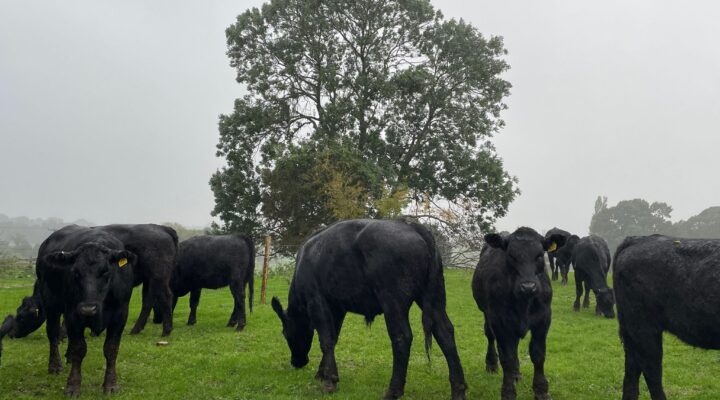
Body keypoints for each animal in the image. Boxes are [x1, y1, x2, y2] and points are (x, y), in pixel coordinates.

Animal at [36, 227, 135, 396]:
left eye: (105, 272)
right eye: (75, 272)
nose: (88, 308)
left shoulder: (120, 314)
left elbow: (111, 349)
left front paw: (111, 384)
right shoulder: (73, 313)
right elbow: (79, 349)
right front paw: (73, 386)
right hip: (50, 303)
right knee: (53, 333)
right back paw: (55, 365)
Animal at [270, 220, 466, 398]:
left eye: (285, 333)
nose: (297, 362)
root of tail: (410, 225)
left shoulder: (316, 300)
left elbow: (326, 340)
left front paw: (329, 381)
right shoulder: (337, 307)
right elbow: (333, 338)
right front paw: (322, 373)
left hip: (393, 300)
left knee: (402, 337)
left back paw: (393, 391)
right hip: (433, 298)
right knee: (444, 332)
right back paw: (458, 389)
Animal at [472, 228, 568, 400]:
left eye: (539, 255)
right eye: (511, 255)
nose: (528, 286)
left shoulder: (544, 319)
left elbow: (538, 354)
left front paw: (541, 390)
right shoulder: (500, 321)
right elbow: (507, 358)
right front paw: (508, 392)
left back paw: (516, 374)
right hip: (486, 313)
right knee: (490, 335)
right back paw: (492, 364)